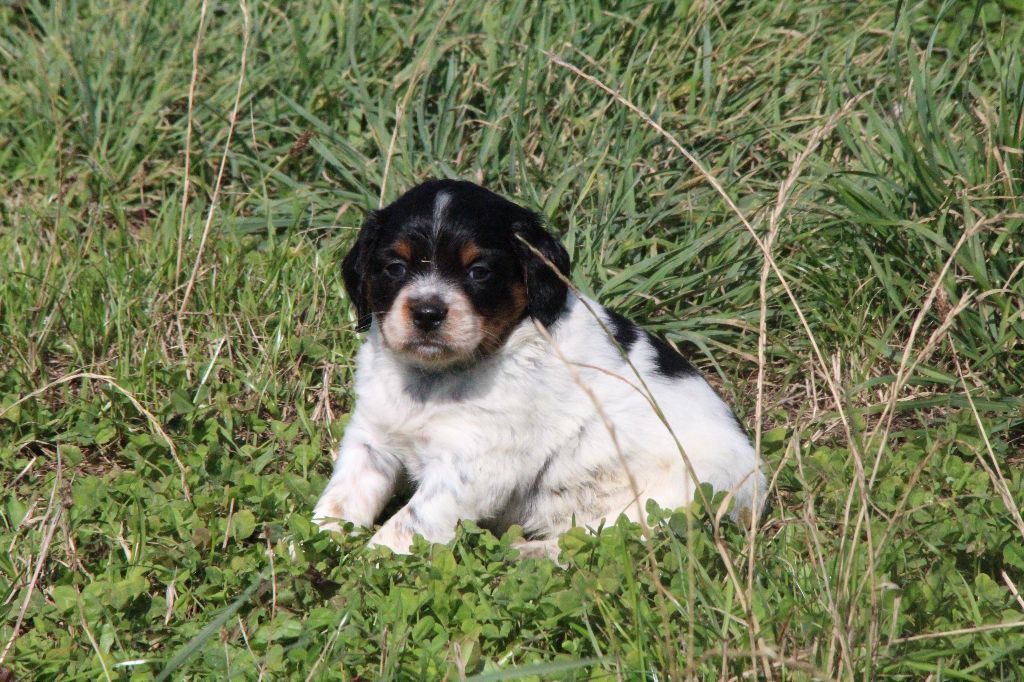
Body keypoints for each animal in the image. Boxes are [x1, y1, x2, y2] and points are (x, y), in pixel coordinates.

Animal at [312, 179, 765, 557]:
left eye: (479, 272)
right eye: (395, 268)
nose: (427, 313)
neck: (435, 379)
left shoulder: (475, 463)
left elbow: (408, 523)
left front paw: (365, 567)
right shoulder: (371, 439)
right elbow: (340, 500)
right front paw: (309, 548)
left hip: (669, 501)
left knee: (598, 543)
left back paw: (522, 555)